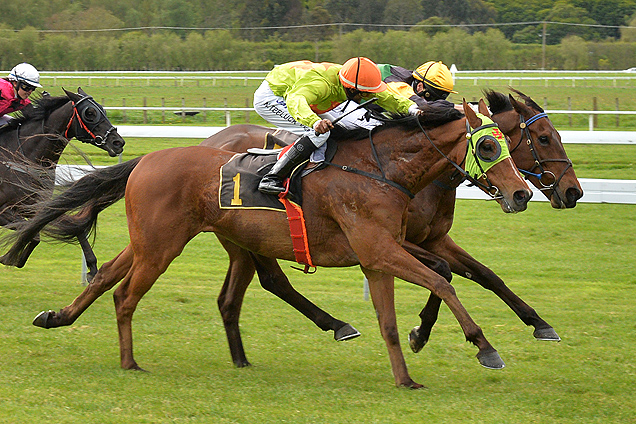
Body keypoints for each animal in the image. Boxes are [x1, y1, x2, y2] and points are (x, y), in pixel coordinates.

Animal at [3, 101, 532, 390]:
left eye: (510, 143)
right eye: (488, 146)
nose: (522, 194)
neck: (381, 170)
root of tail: (146, 159)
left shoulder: (380, 256)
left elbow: (393, 318)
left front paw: (406, 377)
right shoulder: (381, 250)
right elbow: (444, 283)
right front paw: (485, 347)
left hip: (155, 240)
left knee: (110, 274)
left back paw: (57, 317)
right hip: (162, 246)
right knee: (124, 294)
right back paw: (130, 362)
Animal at [196, 88, 584, 366]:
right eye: (544, 137)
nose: (573, 191)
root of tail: (206, 143)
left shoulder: (435, 238)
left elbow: (486, 275)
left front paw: (539, 323)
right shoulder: (394, 241)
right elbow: (443, 273)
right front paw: (421, 332)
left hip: (246, 240)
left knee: (235, 296)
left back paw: (245, 355)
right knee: (273, 280)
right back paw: (337, 326)